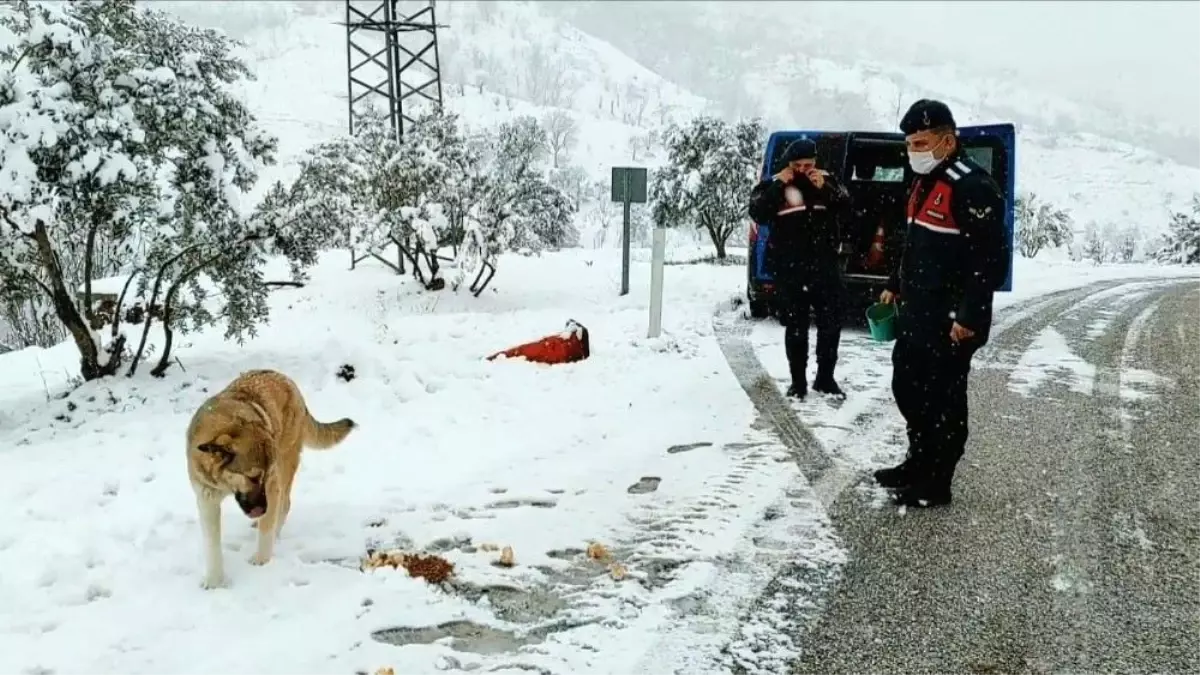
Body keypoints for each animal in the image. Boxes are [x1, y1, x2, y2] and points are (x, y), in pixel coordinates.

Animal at [184, 365, 355, 586]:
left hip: (285, 464)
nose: (263, 510)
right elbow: (212, 545)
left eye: (263, 476)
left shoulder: (272, 484)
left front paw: (261, 561)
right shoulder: (206, 498)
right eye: (253, 477)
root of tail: (285, 378)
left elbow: (267, 527)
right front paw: (214, 581)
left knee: (284, 504)